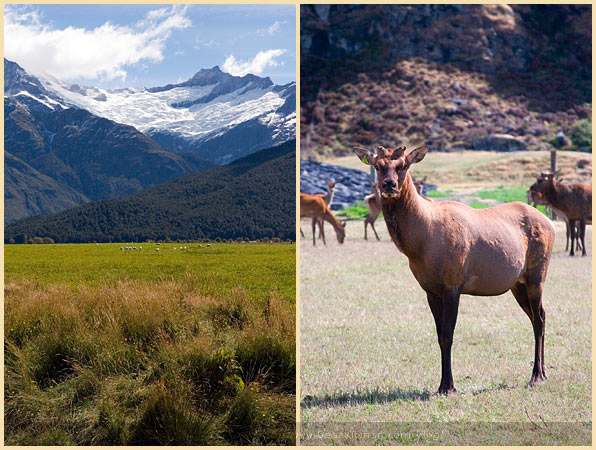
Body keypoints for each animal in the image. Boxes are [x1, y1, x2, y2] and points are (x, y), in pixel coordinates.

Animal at [354, 144, 556, 394]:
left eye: (403, 165)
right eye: (377, 166)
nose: (389, 185)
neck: (421, 243)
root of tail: (551, 223)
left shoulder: (453, 284)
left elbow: (448, 335)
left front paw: (449, 386)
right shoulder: (430, 290)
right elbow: (439, 335)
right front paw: (442, 384)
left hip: (538, 274)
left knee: (539, 319)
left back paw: (536, 375)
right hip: (517, 284)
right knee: (540, 316)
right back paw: (543, 372)